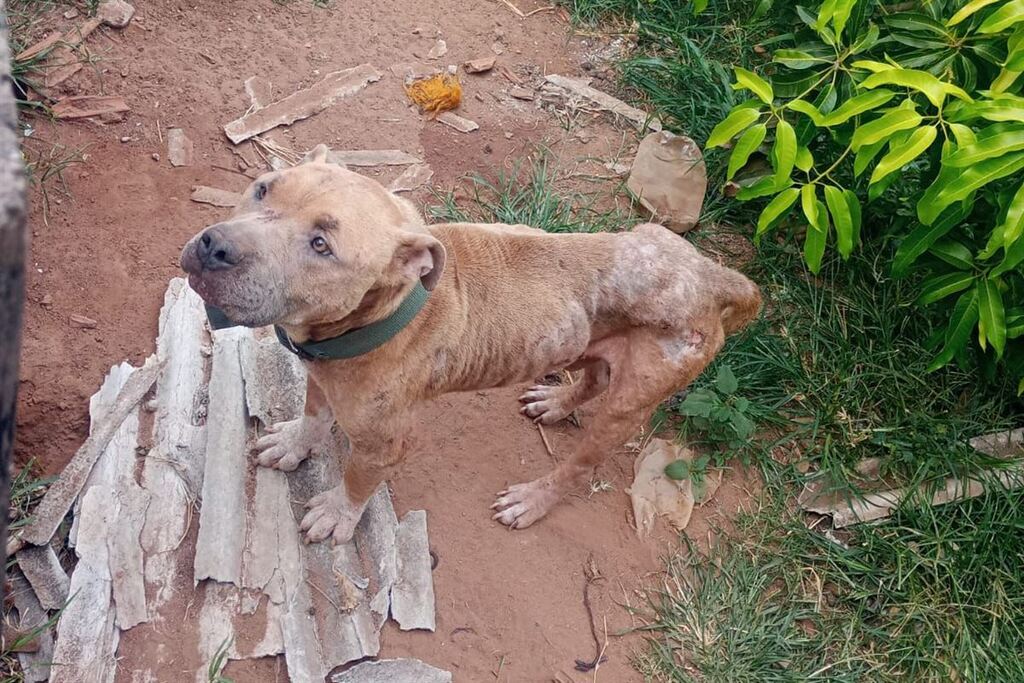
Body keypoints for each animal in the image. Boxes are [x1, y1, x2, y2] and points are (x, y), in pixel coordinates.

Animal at [182, 144, 761, 544]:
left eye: (321, 245)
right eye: (263, 188)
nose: (215, 247)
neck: (378, 316)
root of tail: (714, 277)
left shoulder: (384, 445)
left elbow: (357, 480)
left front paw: (338, 514)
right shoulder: (323, 380)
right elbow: (313, 417)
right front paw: (296, 443)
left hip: (628, 407)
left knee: (579, 467)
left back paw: (532, 499)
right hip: (594, 337)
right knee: (593, 375)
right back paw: (556, 401)